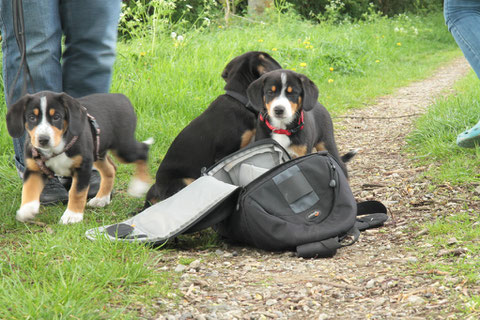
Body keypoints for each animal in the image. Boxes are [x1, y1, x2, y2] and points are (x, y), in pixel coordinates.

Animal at [5, 91, 152, 224]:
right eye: (31, 117)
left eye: (57, 117)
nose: (43, 139)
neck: (57, 148)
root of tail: (120, 96)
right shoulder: (34, 167)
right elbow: (29, 188)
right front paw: (27, 210)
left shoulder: (83, 167)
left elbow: (77, 192)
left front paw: (72, 216)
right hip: (97, 152)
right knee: (110, 169)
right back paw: (101, 199)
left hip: (123, 148)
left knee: (143, 151)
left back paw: (139, 185)